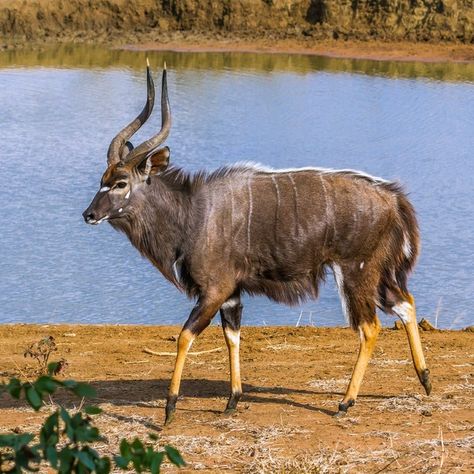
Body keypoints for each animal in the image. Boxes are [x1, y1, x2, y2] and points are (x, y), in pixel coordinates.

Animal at [83, 62, 432, 422]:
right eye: (102, 180)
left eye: (121, 183)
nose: (89, 214)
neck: (194, 213)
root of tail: (393, 198)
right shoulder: (232, 295)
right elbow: (232, 337)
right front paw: (232, 400)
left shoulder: (215, 290)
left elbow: (184, 336)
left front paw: (169, 407)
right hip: (377, 273)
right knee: (405, 303)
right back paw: (425, 379)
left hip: (355, 272)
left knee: (371, 326)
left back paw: (345, 402)